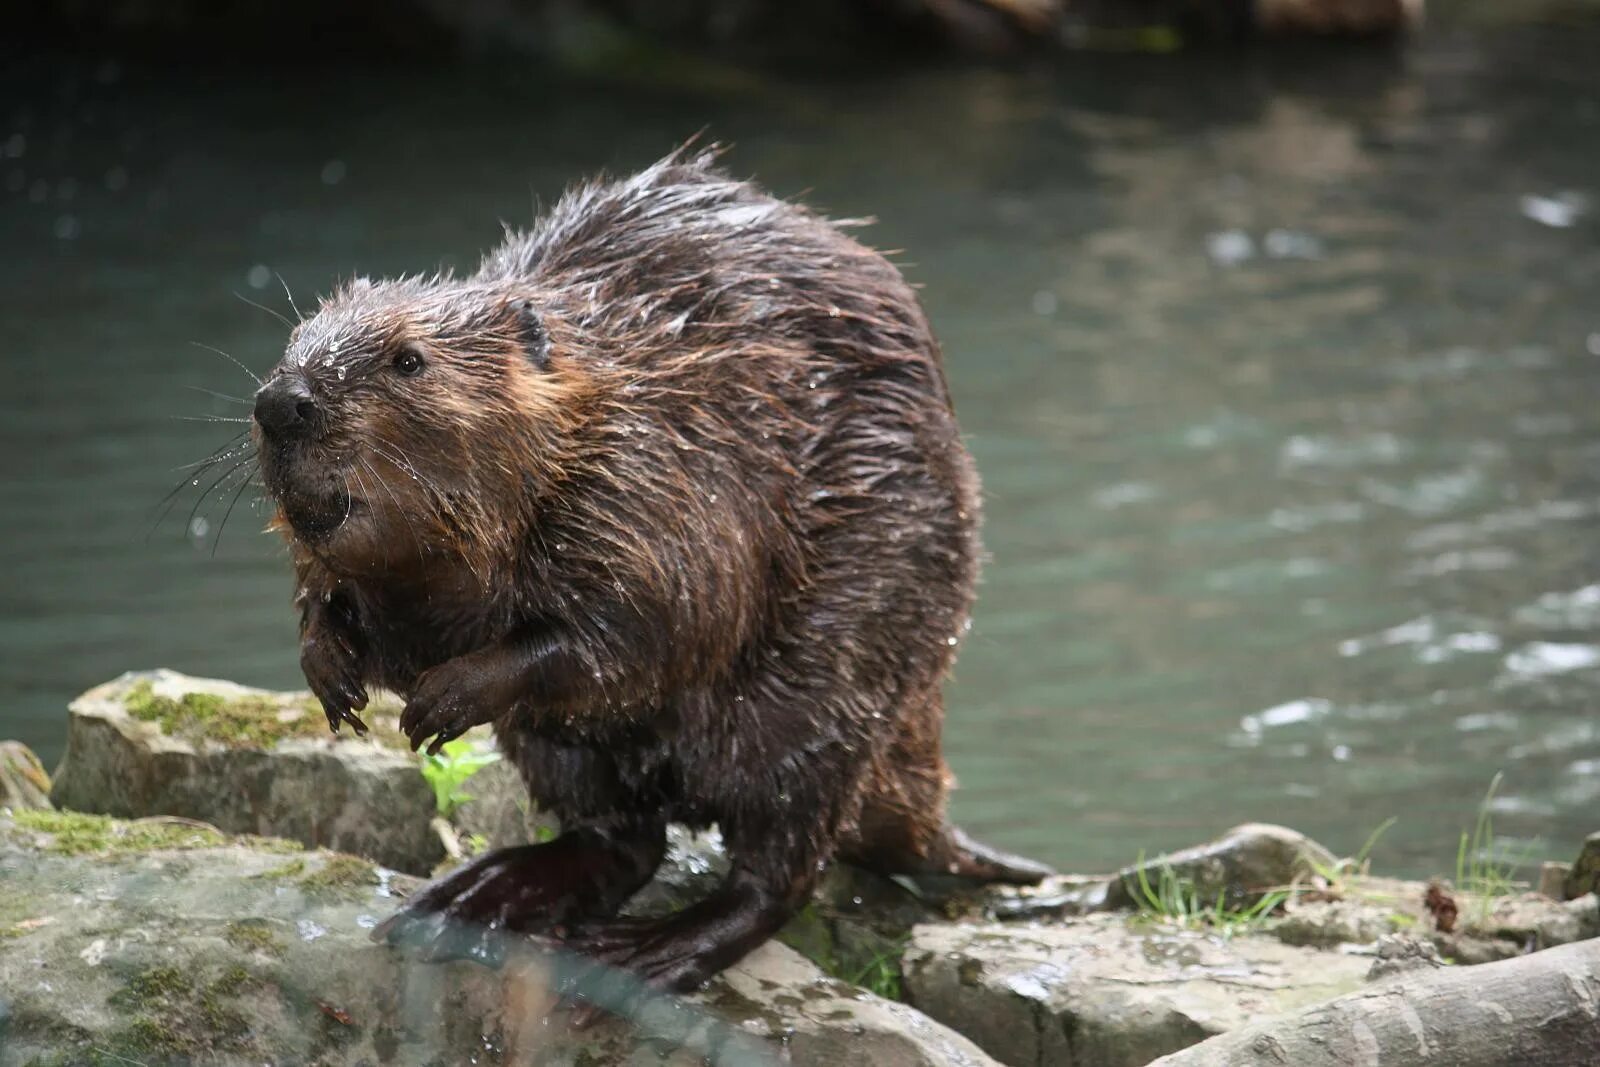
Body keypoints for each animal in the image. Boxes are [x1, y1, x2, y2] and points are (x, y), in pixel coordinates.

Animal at [249, 146, 1049, 998]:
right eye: (296, 338)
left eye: (409, 359)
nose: (282, 402)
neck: (602, 398)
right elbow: (333, 592)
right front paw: (330, 665)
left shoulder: (656, 478)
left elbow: (647, 630)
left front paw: (443, 698)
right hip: (564, 753)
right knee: (621, 836)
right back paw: (475, 895)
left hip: (826, 688)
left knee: (777, 865)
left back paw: (649, 948)